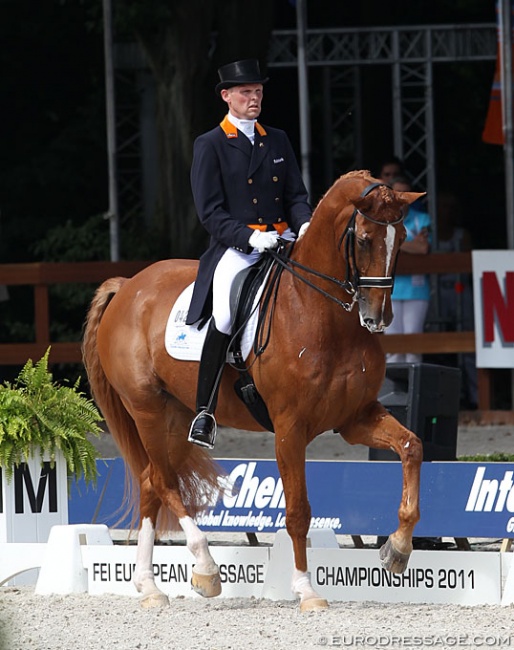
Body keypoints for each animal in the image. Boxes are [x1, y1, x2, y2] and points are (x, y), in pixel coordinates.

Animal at [82, 167, 422, 608]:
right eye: (364, 239)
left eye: (402, 238)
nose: (377, 317)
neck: (321, 315)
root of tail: (127, 286)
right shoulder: (290, 428)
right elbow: (298, 511)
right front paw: (306, 590)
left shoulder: (355, 418)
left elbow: (412, 447)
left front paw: (397, 548)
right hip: (147, 409)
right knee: (165, 482)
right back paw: (206, 569)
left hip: (176, 416)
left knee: (151, 481)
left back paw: (150, 586)